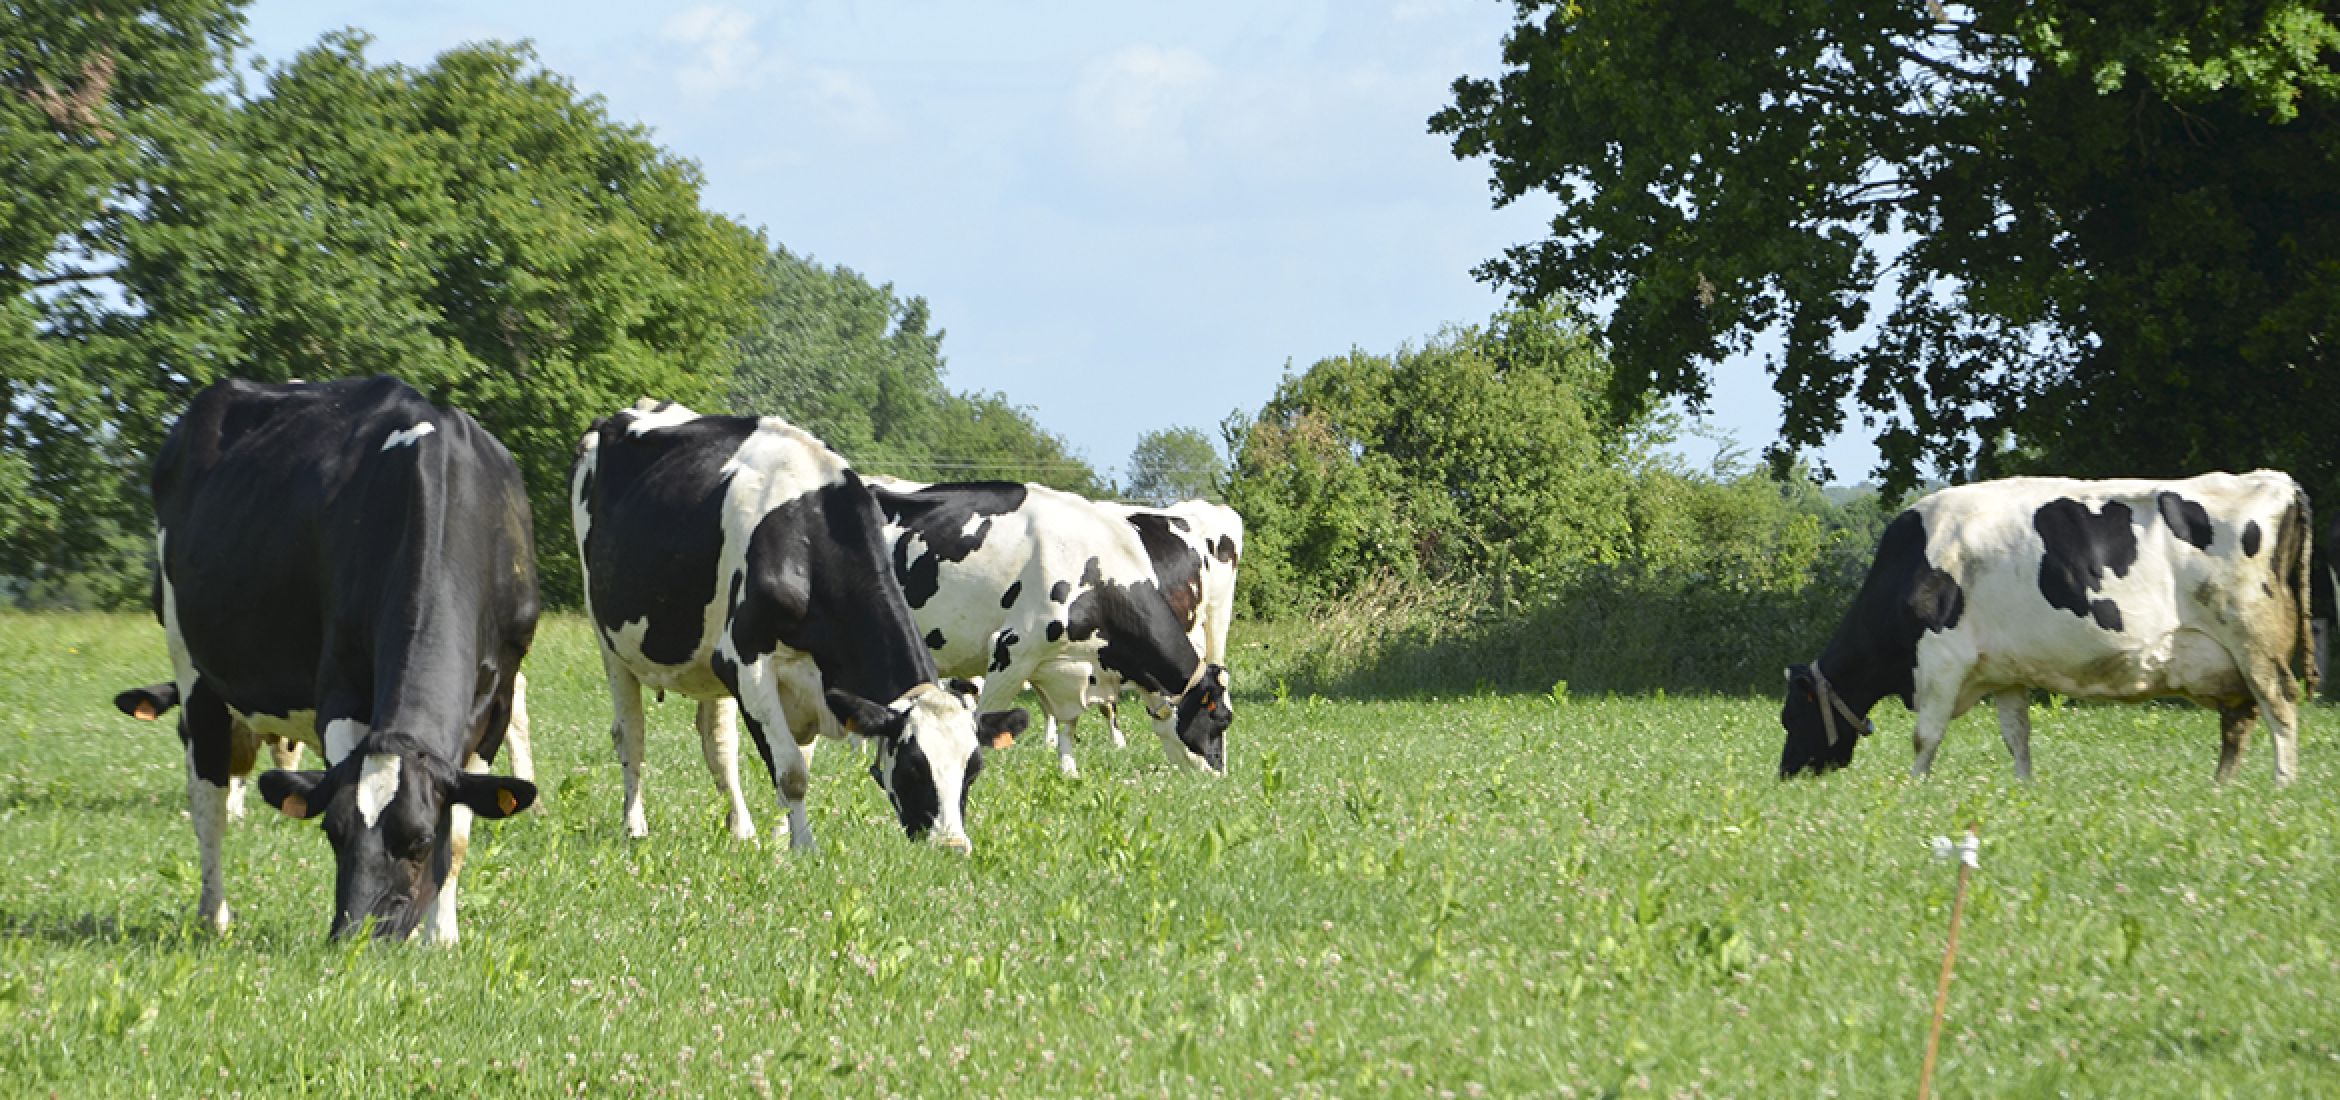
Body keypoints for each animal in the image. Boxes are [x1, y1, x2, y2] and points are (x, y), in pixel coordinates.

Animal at [148, 374, 540, 940]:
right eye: (333, 833)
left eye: (420, 841)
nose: (356, 938)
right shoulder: (340, 684)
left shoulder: (500, 695)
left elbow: (463, 829)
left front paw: (442, 936)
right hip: (189, 659)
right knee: (208, 800)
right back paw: (214, 917)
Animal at [570, 402, 1029, 851]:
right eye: (913, 768)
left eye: (973, 770)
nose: (951, 846)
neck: (806, 536)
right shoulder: (745, 661)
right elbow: (791, 771)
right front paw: (805, 847)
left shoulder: (807, 684)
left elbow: (795, 760)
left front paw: (781, 840)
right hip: (608, 639)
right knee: (630, 735)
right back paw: (635, 827)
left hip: (706, 659)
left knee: (718, 744)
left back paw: (742, 831)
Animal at [1778, 470, 2311, 781]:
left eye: (1791, 717)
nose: (1786, 774)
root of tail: (2278, 481)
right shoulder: (2005, 672)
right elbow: (2017, 738)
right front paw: (2023, 789)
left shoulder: (1940, 661)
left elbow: (1925, 736)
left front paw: (1914, 791)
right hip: (2230, 662)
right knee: (2238, 723)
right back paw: (2222, 790)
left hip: (2254, 642)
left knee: (2280, 707)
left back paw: (2280, 788)